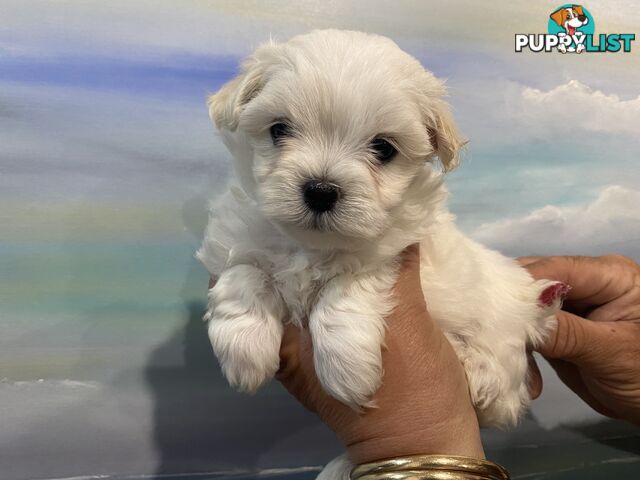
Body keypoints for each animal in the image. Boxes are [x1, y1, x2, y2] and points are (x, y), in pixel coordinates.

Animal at [199, 30, 564, 480]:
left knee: (503, 394)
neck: (312, 245)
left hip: (502, 323)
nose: (321, 190)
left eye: (384, 148)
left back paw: (477, 367)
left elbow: (347, 286)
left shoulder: (393, 251)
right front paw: (244, 346)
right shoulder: (237, 237)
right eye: (279, 129)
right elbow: (243, 271)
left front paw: (347, 369)